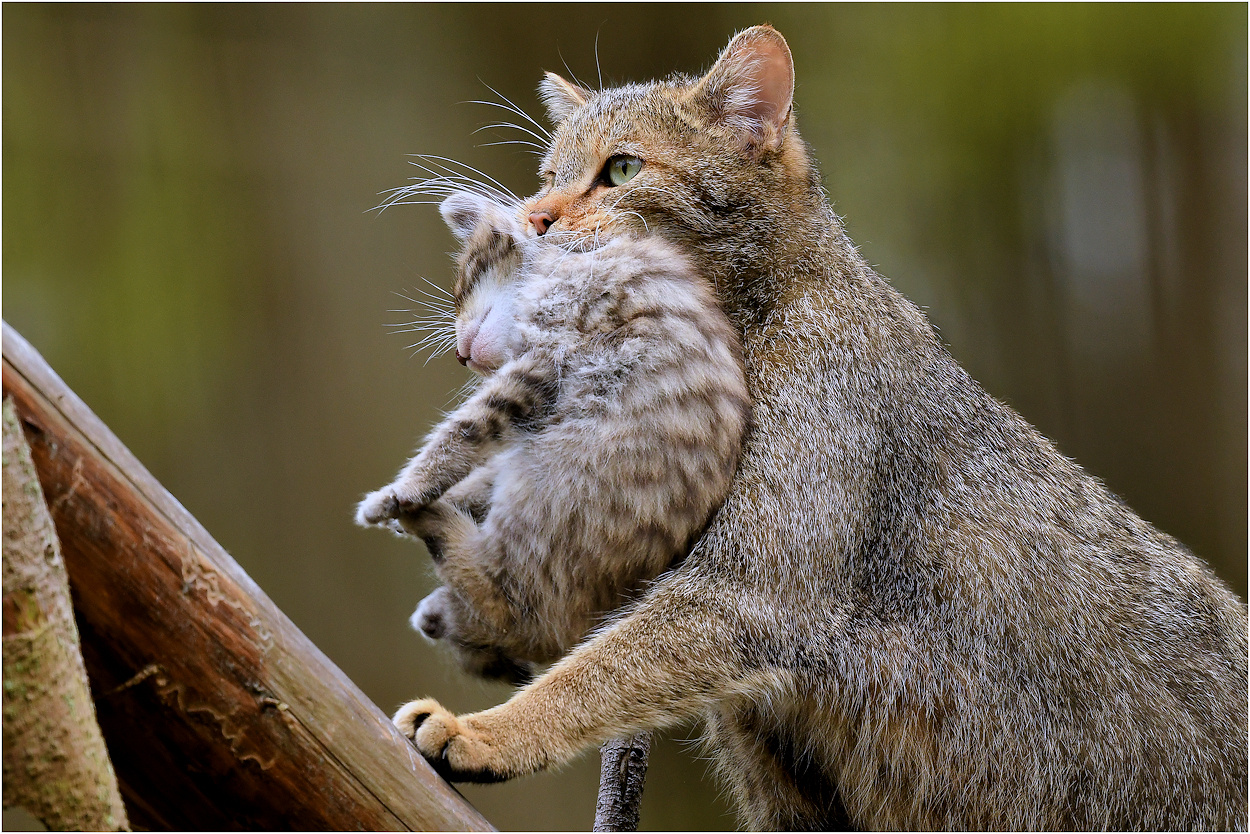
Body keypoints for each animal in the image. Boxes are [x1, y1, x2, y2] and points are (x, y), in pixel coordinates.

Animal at [360, 193, 750, 685]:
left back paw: (432, 524)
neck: (566, 263)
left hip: (553, 482)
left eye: (464, 284)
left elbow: (466, 428)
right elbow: (482, 465)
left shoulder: (548, 355)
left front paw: (402, 491)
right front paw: (446, 492)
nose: (460, 355)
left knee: (509, 601)